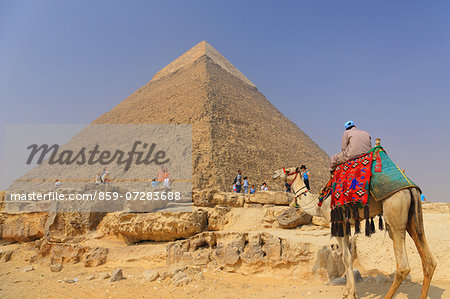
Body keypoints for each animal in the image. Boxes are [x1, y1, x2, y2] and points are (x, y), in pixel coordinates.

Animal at [272, 165, 438, 298]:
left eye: (289, 170)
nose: (274, 173)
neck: (319, 203)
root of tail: (410, 187)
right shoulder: (347, 225)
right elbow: (350, 256)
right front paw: (349, 291)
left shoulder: (338, 223)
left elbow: (345, 257)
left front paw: (350, 293)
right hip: (413, 217)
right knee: (428, 258)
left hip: (395, 211)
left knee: (403, 265)